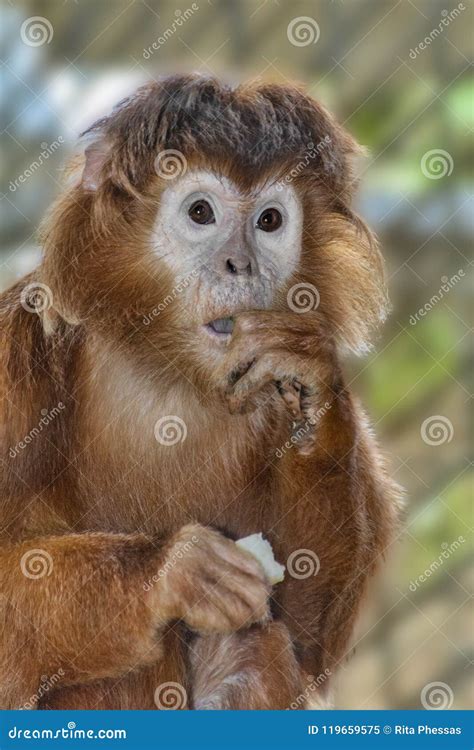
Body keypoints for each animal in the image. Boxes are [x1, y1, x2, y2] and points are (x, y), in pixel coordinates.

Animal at [0, 75, 402, 712]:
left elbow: (308, 634)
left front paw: (309, 383)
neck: (171, 367)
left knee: (255, 640)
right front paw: (174, 571)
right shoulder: (18, 347)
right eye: (200, 213)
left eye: (270, 221)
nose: (239, 264)